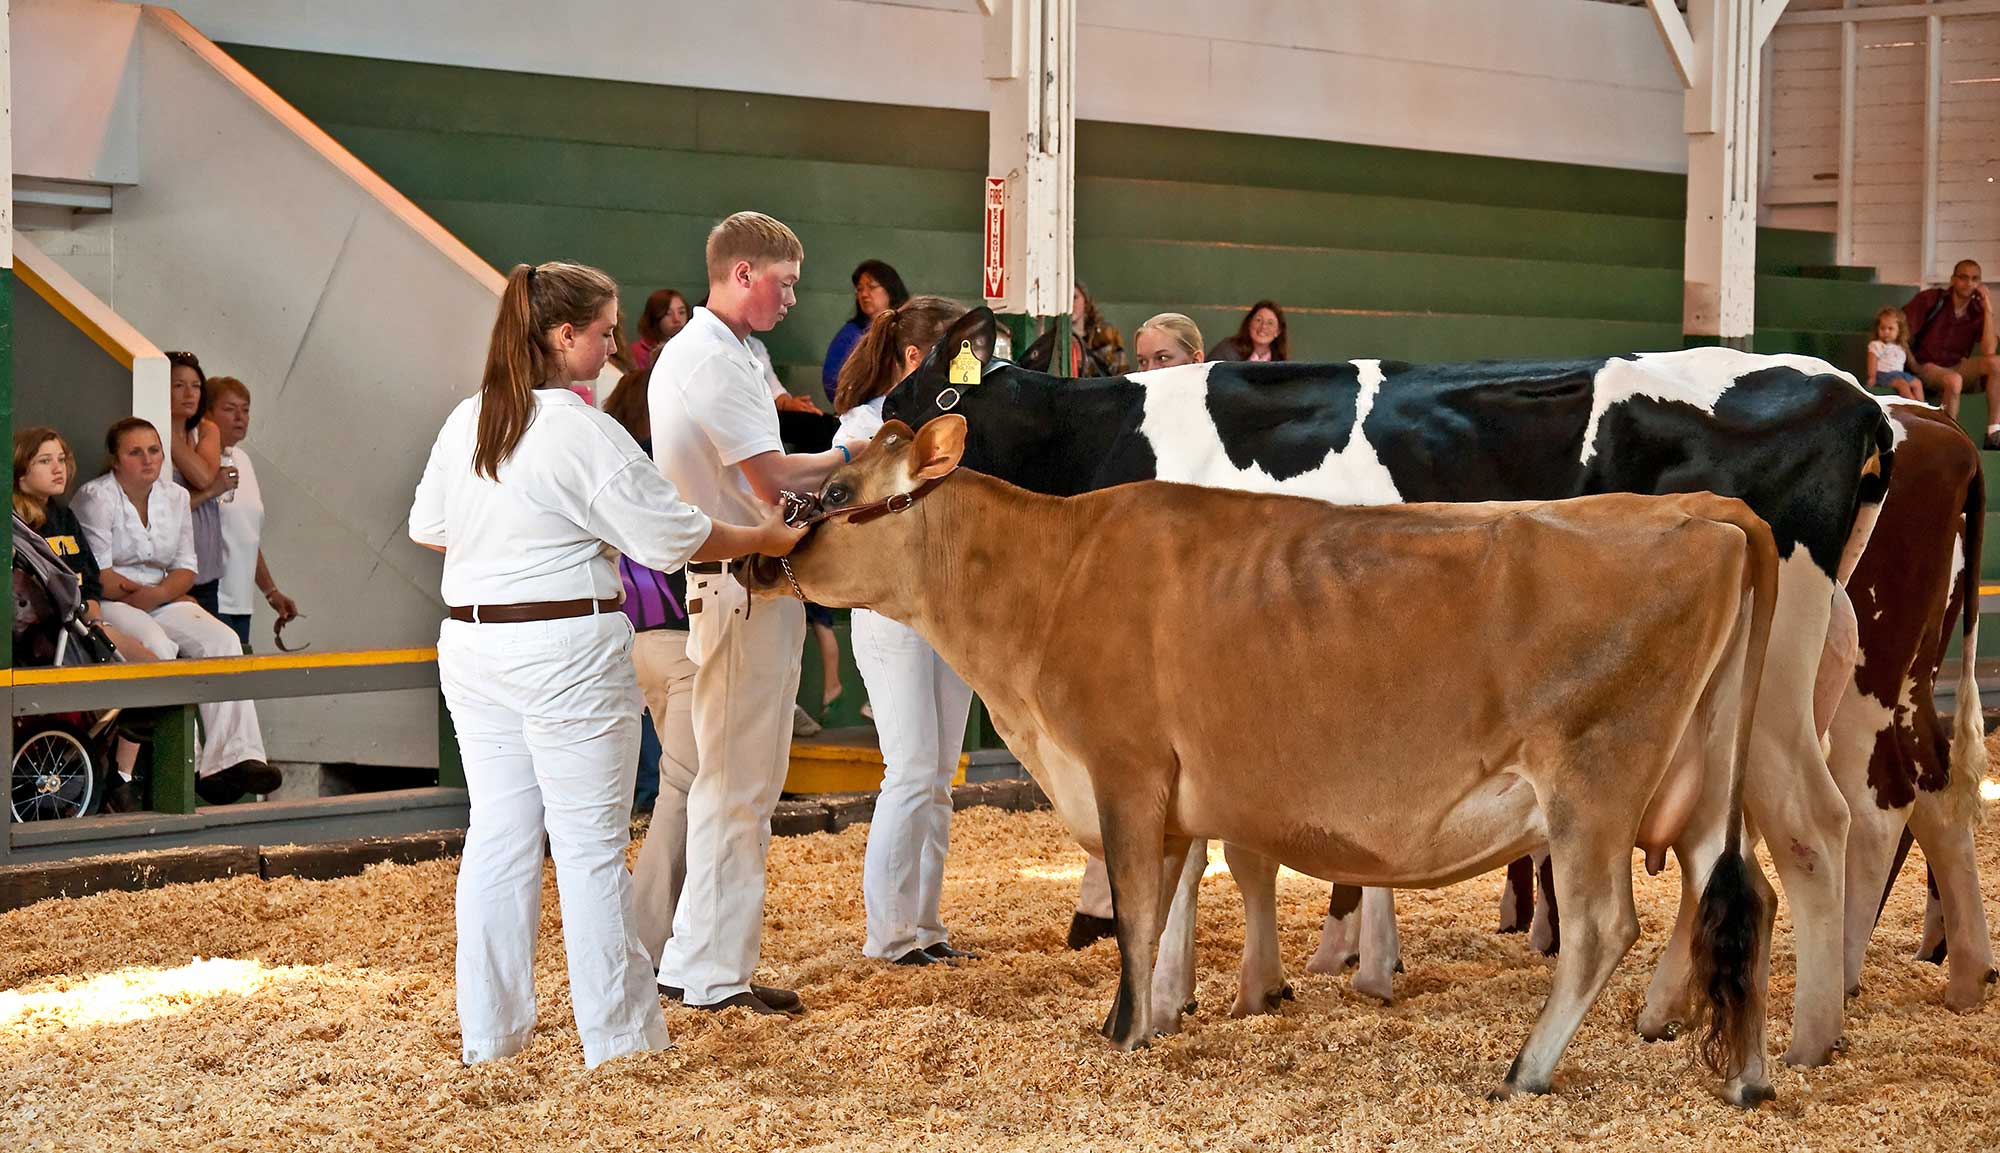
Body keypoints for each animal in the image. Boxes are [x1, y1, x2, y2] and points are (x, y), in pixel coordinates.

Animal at [888, 306, 1888, 1064]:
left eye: (924, 394)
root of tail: (1856, 398)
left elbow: (1196, 856)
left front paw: (1170, 997)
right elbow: (1239, 845)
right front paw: (1262, 983)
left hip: (1771, 683)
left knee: (1813, 824)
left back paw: (1807, 1037)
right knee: (1722, 840)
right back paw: (1678, 1010)